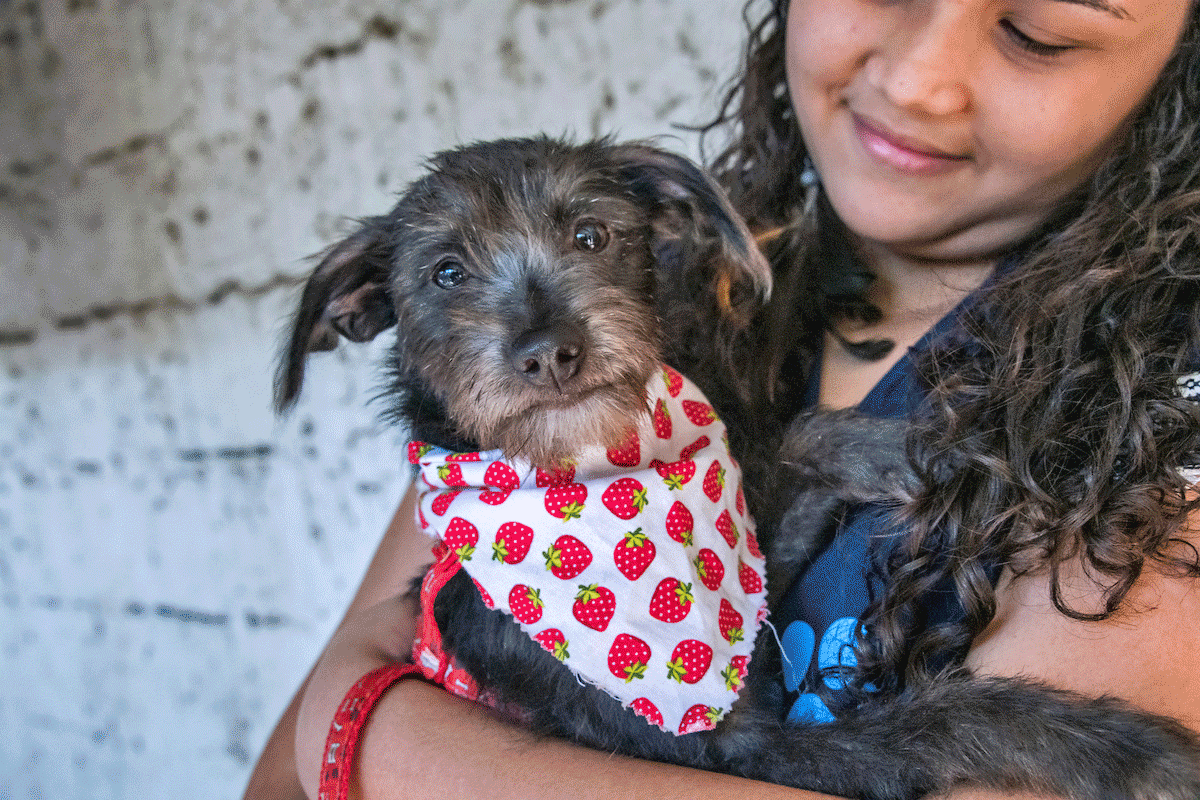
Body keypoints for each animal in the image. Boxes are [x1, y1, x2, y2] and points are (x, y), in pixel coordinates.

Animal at [274, 134, 1200, 796]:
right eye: (445, 273)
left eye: (591, 234)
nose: (549, 353)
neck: (607, 480)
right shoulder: (734, 750)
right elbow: (940, 723)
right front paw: (1130, 754)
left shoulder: (750, 580)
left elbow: (798, 444)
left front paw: (936, 454)